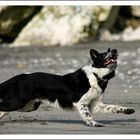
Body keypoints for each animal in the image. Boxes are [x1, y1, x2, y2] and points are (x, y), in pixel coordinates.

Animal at [0, 48, 135, 127]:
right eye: (104, 54)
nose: (115, 50)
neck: (97, 75)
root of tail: (23, 76)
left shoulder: (95, 104)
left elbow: (114, 107)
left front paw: (128, 110)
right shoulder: (80, 102)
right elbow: (87, 115)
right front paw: (94, 123)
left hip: (28, 106)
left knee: (3, 109)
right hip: (18, 101)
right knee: (2, 105)